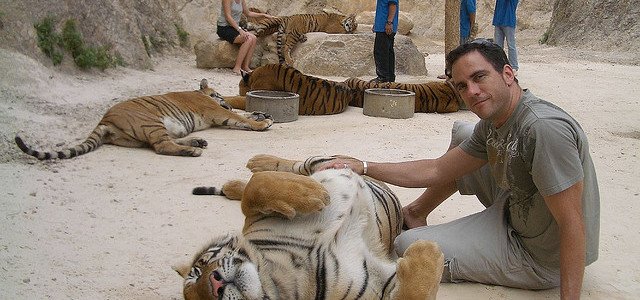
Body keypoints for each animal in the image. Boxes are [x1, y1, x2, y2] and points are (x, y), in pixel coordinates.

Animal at [15, 79, 272, 159]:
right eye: (218, 94)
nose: (224, 100)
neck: (200, 93)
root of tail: (104, 120)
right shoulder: (217, 113)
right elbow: (237, 117)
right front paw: (262, 122)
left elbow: (242, 114)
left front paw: (262, 114)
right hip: (151, 122)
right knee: (162, 146)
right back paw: (194, 149)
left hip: (148, 132)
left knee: (163, 142)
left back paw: (196, 143)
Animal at [178, 155, 442, 300]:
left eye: (198, 269)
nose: (215, 285)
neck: (278, 273)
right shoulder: (378, 284)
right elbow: (413, 293)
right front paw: (427, 251)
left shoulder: (253, 217)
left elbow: (255, 187)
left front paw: (312, 192)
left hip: (326, 159)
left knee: (299, 166)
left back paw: (257, 164)